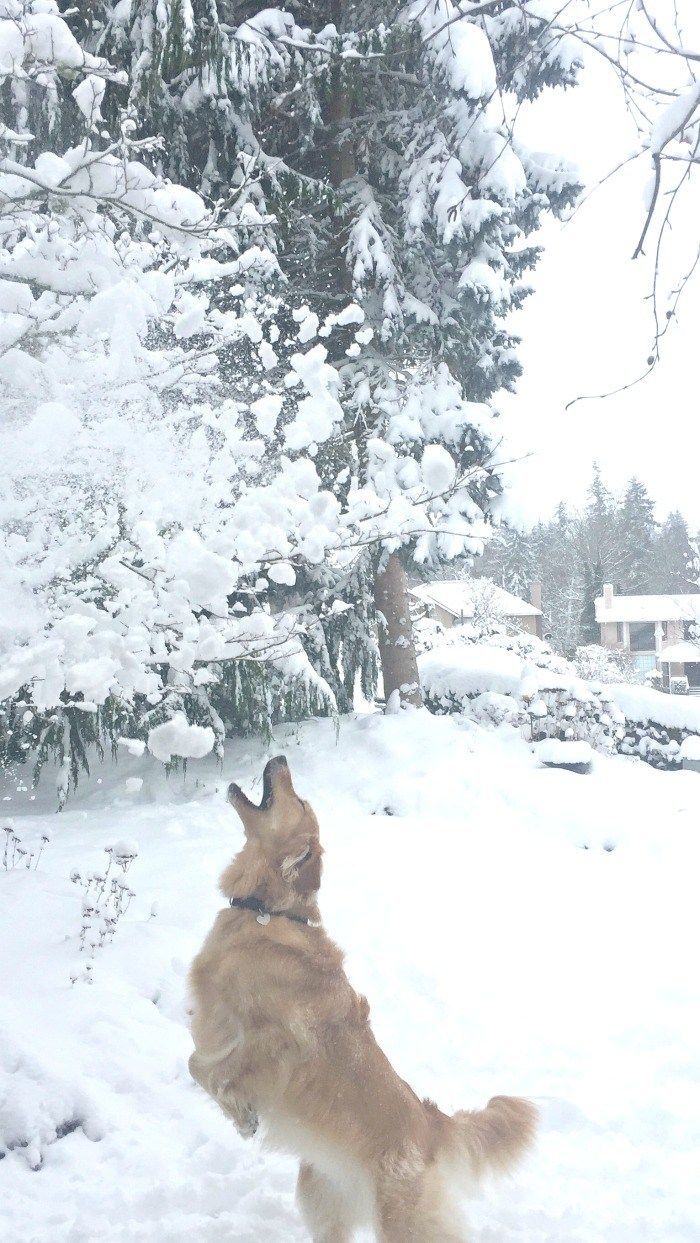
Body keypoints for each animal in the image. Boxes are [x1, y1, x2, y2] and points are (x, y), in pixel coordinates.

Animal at [187, 750, 537, 1238]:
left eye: (300, 799)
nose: (280, 756)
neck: (268, 914)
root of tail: (431, 1124)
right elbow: (198, 1065)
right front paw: (241, 1116)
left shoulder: (276, 1043)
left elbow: (207, 1069)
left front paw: (243, 1116)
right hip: (318, 1193)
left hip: (402, 1222)